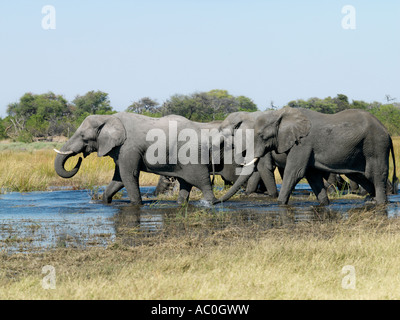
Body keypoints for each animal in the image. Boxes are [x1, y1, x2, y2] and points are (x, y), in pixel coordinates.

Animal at [217, 107, 398, 205]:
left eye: (262, 136)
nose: (214, 202)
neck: (279, 114)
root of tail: (387, 132)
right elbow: (312, 176)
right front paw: (325, 203)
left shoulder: (302, 144)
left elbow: (294, 172)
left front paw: (280, 203)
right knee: (360, 175)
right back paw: (371, 200)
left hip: (376, 145)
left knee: (376, 174)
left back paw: (380, 202)